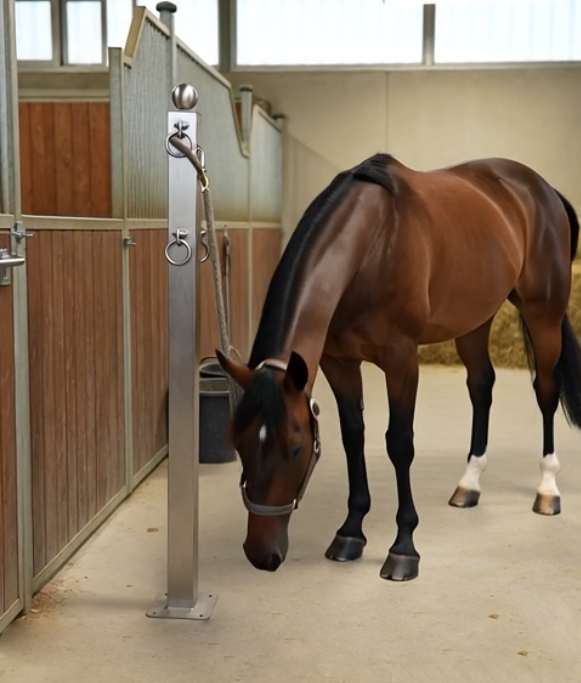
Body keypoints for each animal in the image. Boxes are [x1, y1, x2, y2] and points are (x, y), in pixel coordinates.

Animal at [216, 152, 581, 582]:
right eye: (237, 442)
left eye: (296, 447)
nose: (261, 555)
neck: (374, 245)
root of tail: (543, 188)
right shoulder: (339, 362)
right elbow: (353, 437)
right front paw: (350, 533)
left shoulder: (402, 358)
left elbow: (400, 443)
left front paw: (403, 549)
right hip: (474, 320)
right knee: (481, 386)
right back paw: (469, 485)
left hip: (543, 315)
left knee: (545, 391)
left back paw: (547, 490)